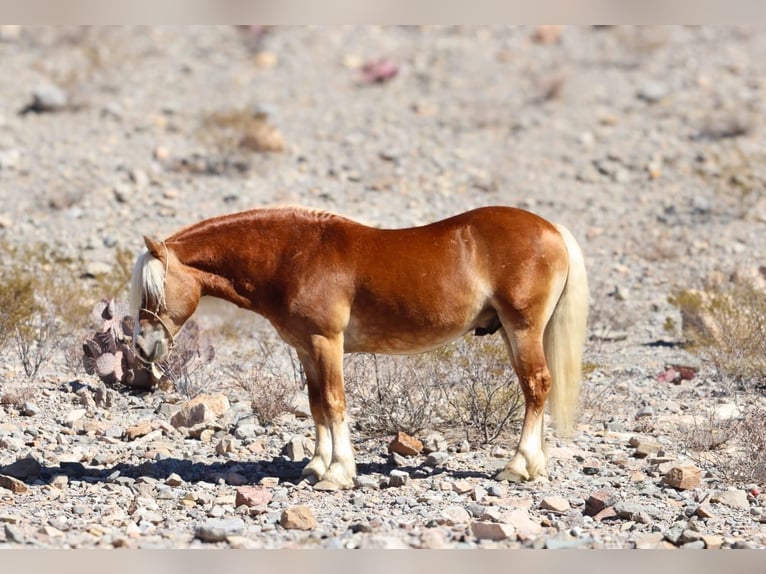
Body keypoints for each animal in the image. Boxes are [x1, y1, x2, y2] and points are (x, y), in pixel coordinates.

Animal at [129, 205, 592, 488]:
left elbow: (334, 403)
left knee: (537, 386)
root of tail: (551, 230)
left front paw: (338, 473)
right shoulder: (306, 348)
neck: (292, 256)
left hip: (523, 329)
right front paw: (316, 466)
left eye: (153, 291)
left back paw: (517, 466)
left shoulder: (326, 343)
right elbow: (316, 404)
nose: (144, 348)